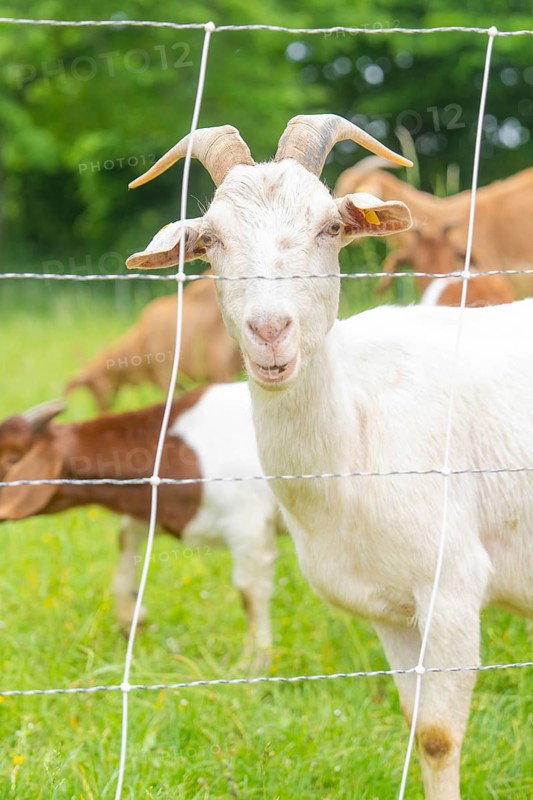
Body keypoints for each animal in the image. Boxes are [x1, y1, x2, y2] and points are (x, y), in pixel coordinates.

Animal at [0, 385, 278, 667]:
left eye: (12, 459)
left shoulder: (248, 524)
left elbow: (249, 591)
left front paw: (254, 664)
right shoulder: (156, 506)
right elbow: (126, 537)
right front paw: (130, 619)